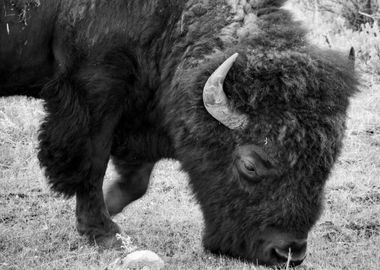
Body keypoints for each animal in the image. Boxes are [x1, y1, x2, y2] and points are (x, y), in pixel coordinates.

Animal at [0, 0, 358, 266]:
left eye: (327, 163)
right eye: (250, 165)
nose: (287, 253)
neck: (172, 18)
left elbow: (136, 181)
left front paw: (109, 208)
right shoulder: (95, 91)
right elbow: (92, 162)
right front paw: (105, 233)